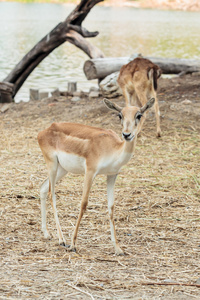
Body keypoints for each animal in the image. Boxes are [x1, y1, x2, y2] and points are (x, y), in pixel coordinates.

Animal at [38, 96, 156, 255]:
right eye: (120, 115)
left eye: (139, 115)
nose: (126, 134)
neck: (112, 149)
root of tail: (45, 130)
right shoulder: (90, 171)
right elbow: (83, 203)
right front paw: (73, 244)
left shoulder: (112, 175)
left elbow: (111, 207)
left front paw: (118, 248)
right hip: (52, 164)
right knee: (52, 194)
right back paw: (62, 240)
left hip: (62, 169)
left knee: (43, 188)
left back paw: (46, 233)